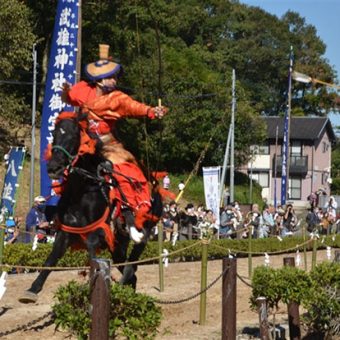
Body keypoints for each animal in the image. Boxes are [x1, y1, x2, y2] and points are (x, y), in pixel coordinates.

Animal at [19, 111, 163, 302]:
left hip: (145, 227)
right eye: (54, 134)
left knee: (132, 264)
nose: (53, 167)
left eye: (74, 136)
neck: (82, 191)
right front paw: (33, 289)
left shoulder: (99, 232)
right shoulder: (66, 232)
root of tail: (155, 187)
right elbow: (51, 260)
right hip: (117, 246)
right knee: (131, 274)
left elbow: (92, 251)